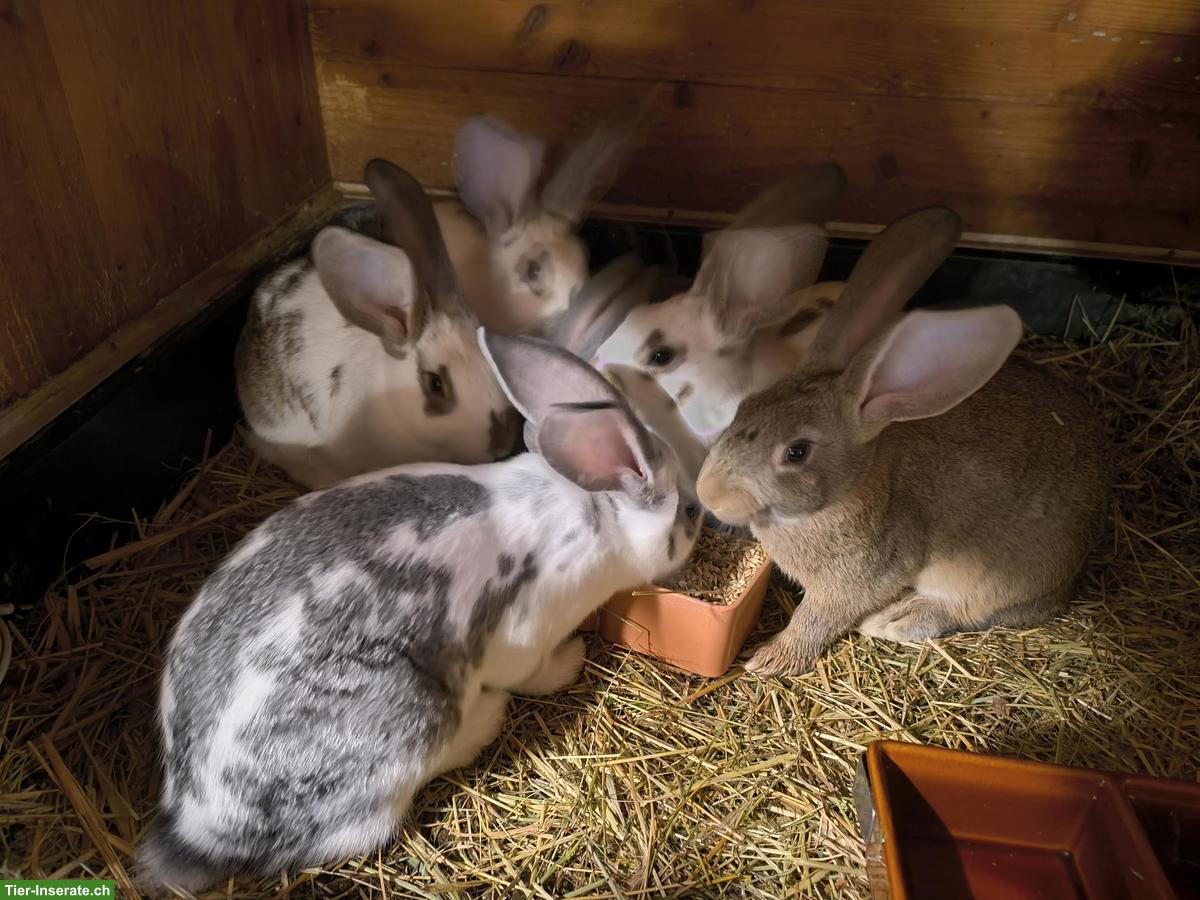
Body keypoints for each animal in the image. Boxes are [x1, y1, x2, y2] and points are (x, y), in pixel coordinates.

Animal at [136, 330, 704, 896]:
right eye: (690, 510)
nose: (702, 522)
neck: (594, 512)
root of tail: (197, 827)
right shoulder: (525, 637)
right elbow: (537, 674)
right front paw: (575, 658)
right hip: (415, 716)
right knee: (370, 820)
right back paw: (485, 719)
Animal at [695, 206, 1111, 677]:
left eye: (796, 452)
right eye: (744, 408)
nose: (708, 493)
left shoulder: (856, 582)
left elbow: (817, 619)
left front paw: (769, 660)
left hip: (987, 577)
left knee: (976, 609)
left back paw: (896, 620)